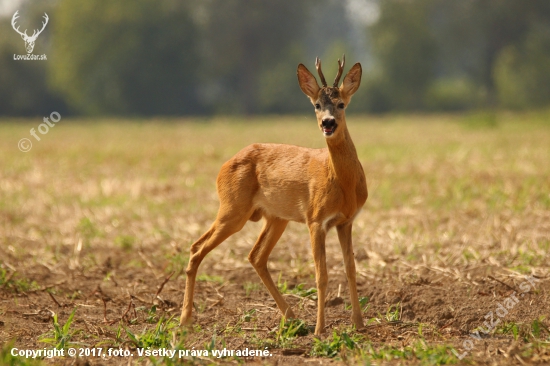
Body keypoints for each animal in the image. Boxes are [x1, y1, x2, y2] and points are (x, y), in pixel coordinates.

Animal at [181, 56, 368, 334]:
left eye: (341, 103)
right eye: (316, 105)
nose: (328, 123)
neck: (343, 183)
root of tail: (223, 167)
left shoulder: (346, 221)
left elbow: (351, 269)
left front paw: (359, 324)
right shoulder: (315, 219)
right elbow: (321, 275)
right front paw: (320, 329)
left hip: (275, 217)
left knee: (255, 256)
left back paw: (291, 316)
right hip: (233, 209)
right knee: (197, 248)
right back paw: (185, 319)